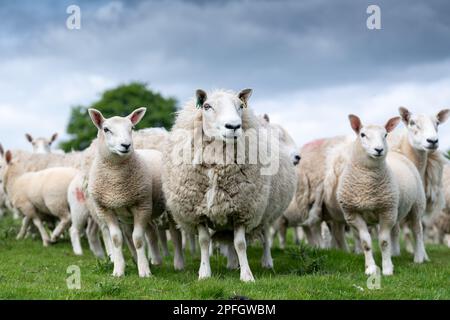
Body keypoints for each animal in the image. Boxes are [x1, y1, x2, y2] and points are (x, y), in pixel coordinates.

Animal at [86, 108, 172, 278]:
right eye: (106, 129)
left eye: (131, 128)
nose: (126, 145)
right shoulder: (105, 209)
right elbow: (117, 239)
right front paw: (118, 270)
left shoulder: (141, 205)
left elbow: (138, 239)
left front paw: (144, 271)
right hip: (128, 215)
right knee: (146, 232)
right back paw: (145, 259)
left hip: (150, 208)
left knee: (151, 233)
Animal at [161, 89, 296, 282]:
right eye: (207, 106)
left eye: (240, 106)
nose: (233, 126)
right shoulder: (199, 212)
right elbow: (204, 242)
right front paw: (204, 273)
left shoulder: (242, 210)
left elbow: (240, 244)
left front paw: (247, 275)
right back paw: (232, 263)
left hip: (265, 211)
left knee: (265, 237)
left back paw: (266, 261)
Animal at [336, 115, 428, 276]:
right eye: (362, 134)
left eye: (385, 135)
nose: (379, 149)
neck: (366, 187)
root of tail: (397, 154)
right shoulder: (353, 214)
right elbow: (366, 242)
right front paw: (370, 268)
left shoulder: (386, 212)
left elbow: (384, 242)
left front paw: (387, 269)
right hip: (396, 208)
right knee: (396, 231)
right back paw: (395, 254)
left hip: (417, 205)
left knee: (418, 230)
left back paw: (418, 257)